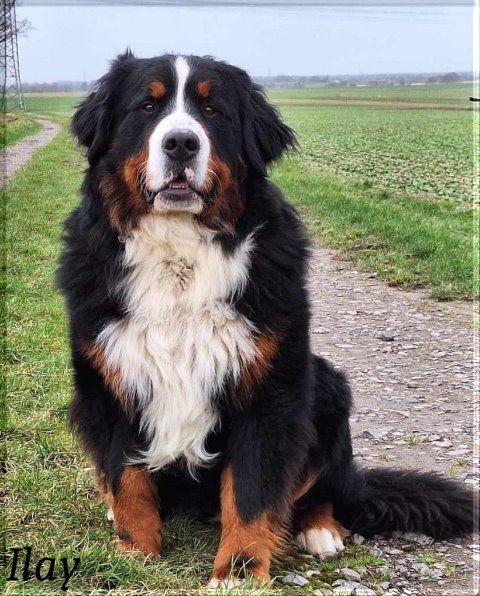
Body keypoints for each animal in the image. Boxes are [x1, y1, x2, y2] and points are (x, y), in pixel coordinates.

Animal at [58, 52, 473, 587]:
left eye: (212, 111)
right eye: (146, 107)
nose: (181, 142)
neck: (178, 257)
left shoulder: (269, 389)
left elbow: (252, 493)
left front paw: (237, 572)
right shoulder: (108, 380)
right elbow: (127, 480)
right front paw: (134, 554)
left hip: (327, 386)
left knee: (323, 488)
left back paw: (319, 529)